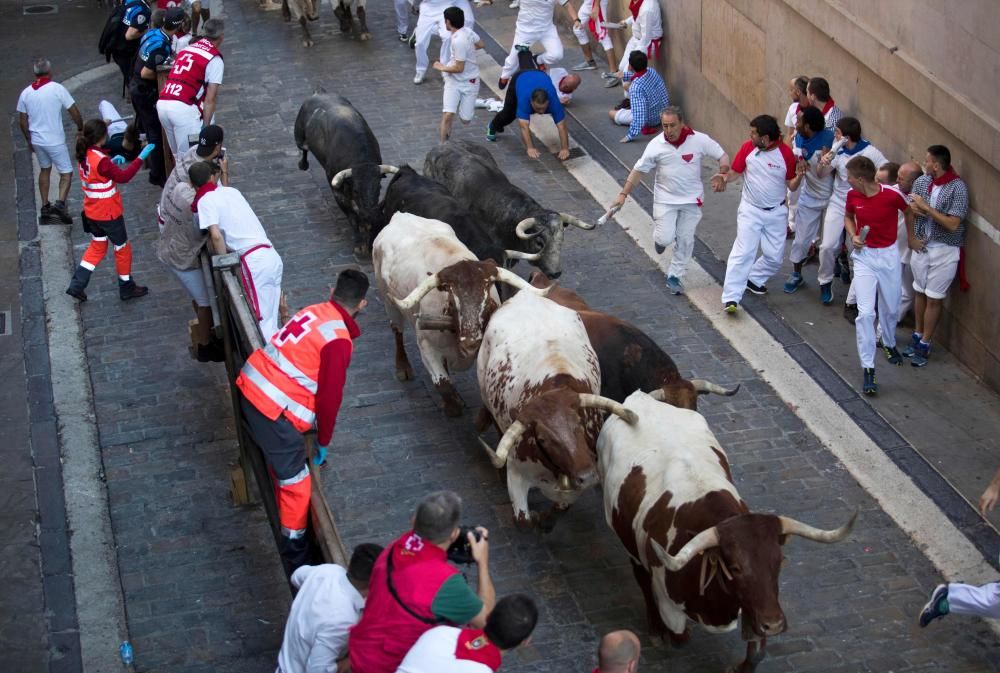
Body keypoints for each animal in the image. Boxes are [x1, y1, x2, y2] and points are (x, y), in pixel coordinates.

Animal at [376, 214, 548, 414]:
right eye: (452, 301)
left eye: (486, 299)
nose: (471, 344)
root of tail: (400, 215)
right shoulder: (426, 346)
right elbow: (445, 387)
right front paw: (452, 406)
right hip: (388, 302)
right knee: (397, 331)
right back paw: (403, 368)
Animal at [474, 292, 632, 528]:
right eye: (544, 439)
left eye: (579, 425)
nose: (588, 476)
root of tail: (525, 296)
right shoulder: (517, 473)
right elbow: (524, 521)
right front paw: (538, 519)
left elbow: (561, 508)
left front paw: (546, 520)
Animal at [596, 392, 856, 668]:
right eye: (735, 568)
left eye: (779, 562)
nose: (774, 624)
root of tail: (638, 399)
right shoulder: (670, 604)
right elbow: (680, 636)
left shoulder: (755, 605)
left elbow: (757, 651)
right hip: (628, 543)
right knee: (642, 579)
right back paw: (655, 628)